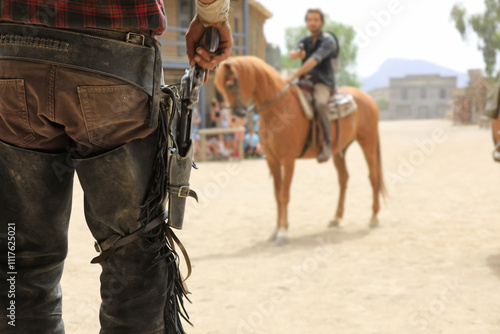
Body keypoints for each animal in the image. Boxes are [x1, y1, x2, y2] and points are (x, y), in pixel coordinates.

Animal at [215, 56, 386, 245]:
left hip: (368, 143)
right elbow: (277, 195)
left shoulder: (288, 160)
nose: (233, 120)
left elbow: (284, 195)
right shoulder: (272, 160)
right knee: (343, 179)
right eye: (219, 88)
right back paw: (336, 218)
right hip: (340, 151)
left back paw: (374, 217)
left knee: (373, 177)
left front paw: (283, 233)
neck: (278, 107)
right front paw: (276, 230)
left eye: (230, 84)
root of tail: (368, 99)